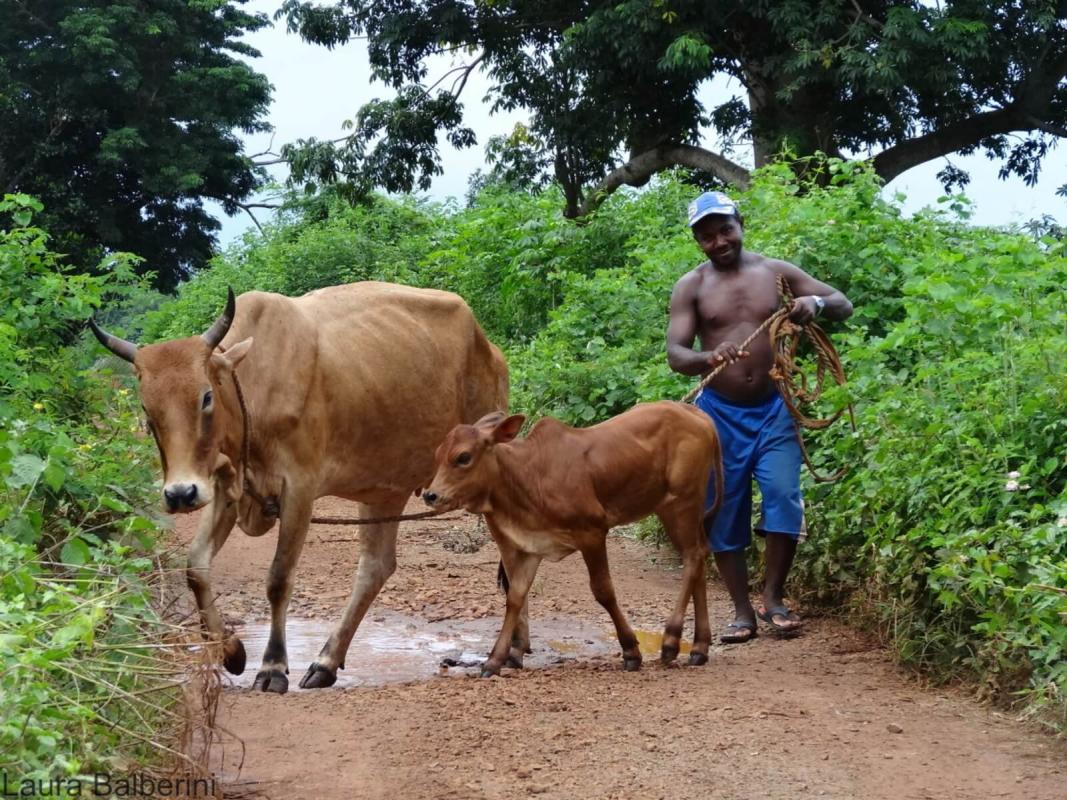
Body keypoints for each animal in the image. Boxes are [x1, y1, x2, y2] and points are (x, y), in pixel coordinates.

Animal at [92, 285, 507, 691]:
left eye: (206, 396)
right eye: (147, 410)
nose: (180, 495)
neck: (254, 389)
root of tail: (489, 347)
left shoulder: (299, 490)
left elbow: (278, 579)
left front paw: (272, 667)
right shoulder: (226, 488)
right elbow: (196, 567)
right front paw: (230, 650)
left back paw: (507, 653)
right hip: (383, 489)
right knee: (376, 567)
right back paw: (326, 663)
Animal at [420, 401, 721, 678]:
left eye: (463, 457)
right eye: (437, 454)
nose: (431, 495)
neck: (527, 477)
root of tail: (698, 415)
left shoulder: (593, 533)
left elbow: (603, 591)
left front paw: (630, 651)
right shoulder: (531, 547)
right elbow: (515, 597)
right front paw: (495, 659)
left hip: (680, 502)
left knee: (693, 557)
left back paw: (671, 641)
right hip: (677, 508)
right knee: (699, 556)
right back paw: (699, 647)